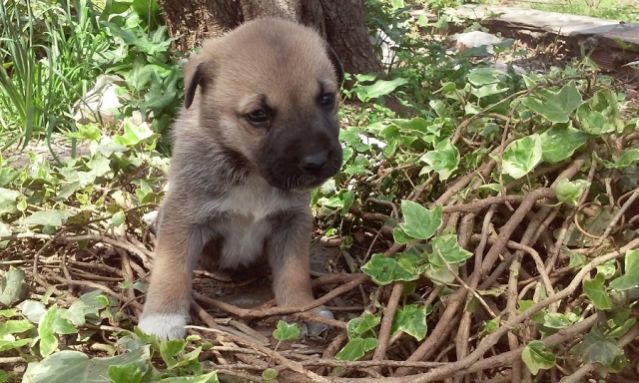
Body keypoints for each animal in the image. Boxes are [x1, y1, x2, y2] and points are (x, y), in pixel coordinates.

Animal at [140, 16, 344, 340]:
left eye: (326, 99)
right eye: (258, 115)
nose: (318, 162)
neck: (251, 172)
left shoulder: (292, 221)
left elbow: (295, 273)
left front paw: (303, 309)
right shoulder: (184, 218)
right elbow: (170, 270)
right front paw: (161, 318)